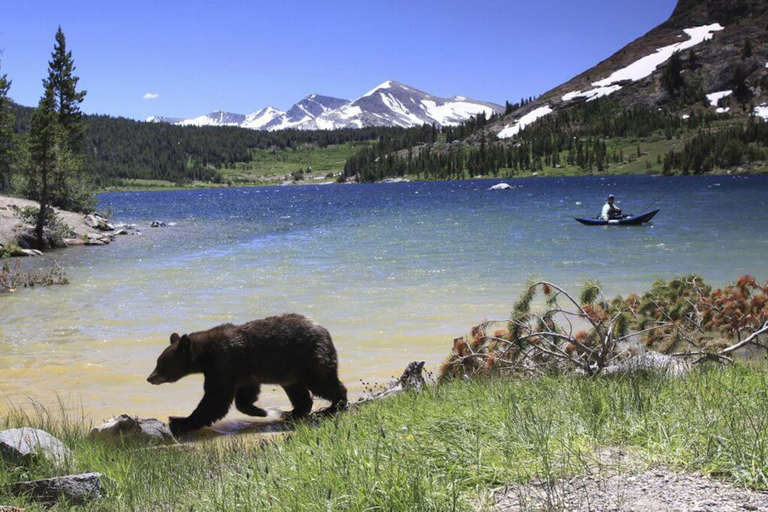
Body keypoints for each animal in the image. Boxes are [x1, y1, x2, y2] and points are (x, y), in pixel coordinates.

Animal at [145, 312, 348, 436]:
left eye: (161, 364)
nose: (150, 378)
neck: (206, 354)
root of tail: (324, 331)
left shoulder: (224, 363)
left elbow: (215, 398)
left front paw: (179, 420)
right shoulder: (242, 372)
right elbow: (244, 394)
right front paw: (260, 410)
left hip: (309, 357)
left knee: (322, 382)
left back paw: (334, 405)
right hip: (290, 371)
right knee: (298, 391)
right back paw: (293, 413)